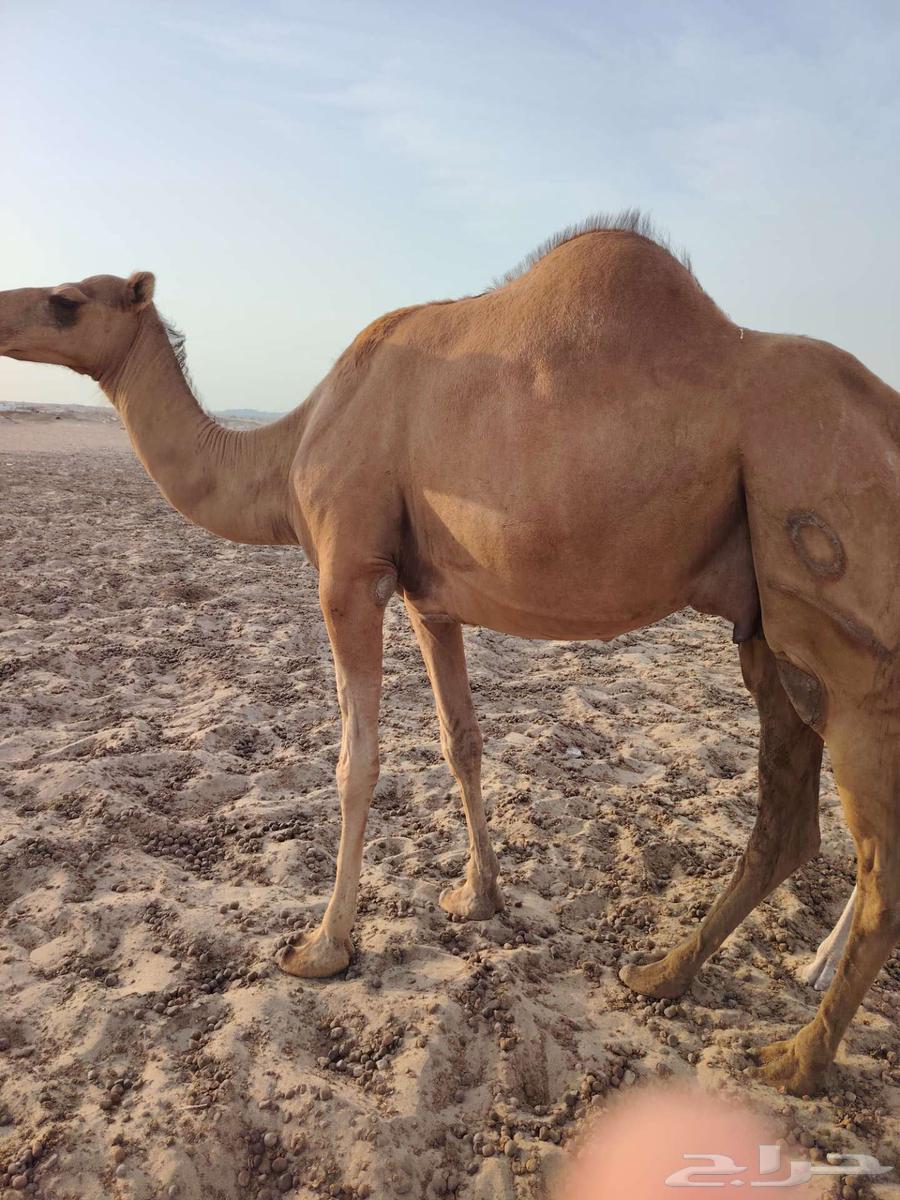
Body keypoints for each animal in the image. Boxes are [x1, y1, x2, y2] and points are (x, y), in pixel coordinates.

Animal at [1, 213, 896, 1097]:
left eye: (66, 301)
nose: (4, 314)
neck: (289, 451)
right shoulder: (429, 598)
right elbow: (459, 740)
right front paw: (476, 896)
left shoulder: (349, 571)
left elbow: (355, 761)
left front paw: (323, 946)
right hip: (772, 629)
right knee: (790, 818)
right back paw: (663, 974)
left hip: (850, 615)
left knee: (878, 864)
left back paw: (797, 1056)